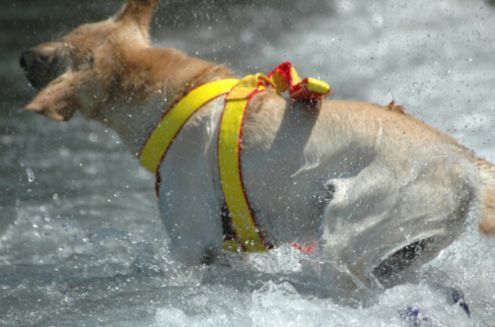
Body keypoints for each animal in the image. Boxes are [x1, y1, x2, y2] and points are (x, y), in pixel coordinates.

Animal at [17, 0, 494, 292]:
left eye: (54, 56)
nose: (22, 56)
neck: (174, 97)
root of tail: (466, 162)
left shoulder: (192, 246)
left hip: (348, 231)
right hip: (403, 249)